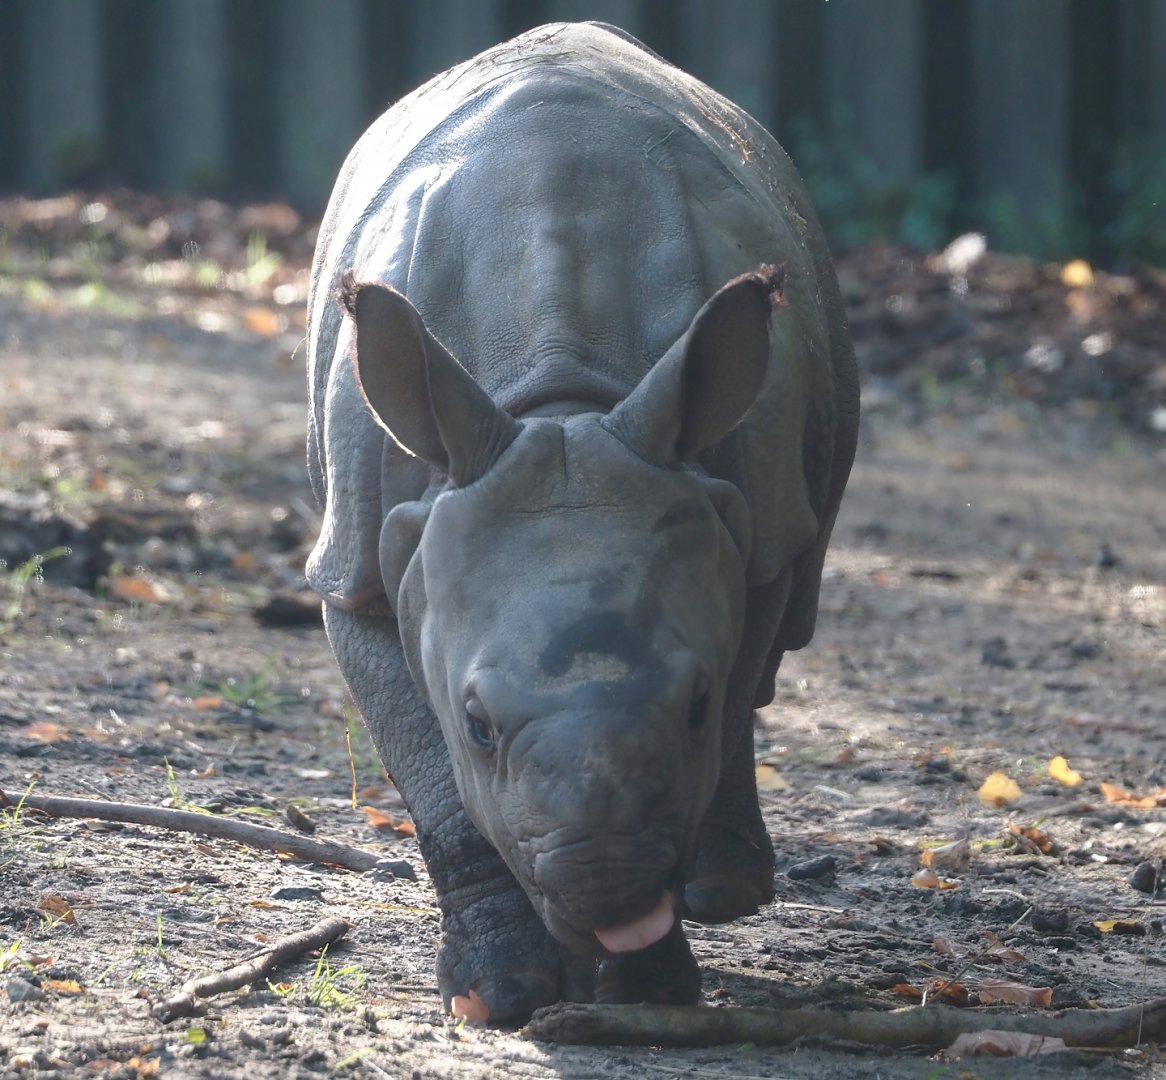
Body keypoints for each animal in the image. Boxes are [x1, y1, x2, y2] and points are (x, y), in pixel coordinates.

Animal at [306, 22, 859, 1021]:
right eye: (478, 726)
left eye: (693, 701)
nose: (606, 891)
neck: (561, 400)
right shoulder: (361, 564)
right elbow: (441, 793)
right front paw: (499, 997)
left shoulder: (746, 525)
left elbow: (726, 707)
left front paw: (645, 989)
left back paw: (726, 891)